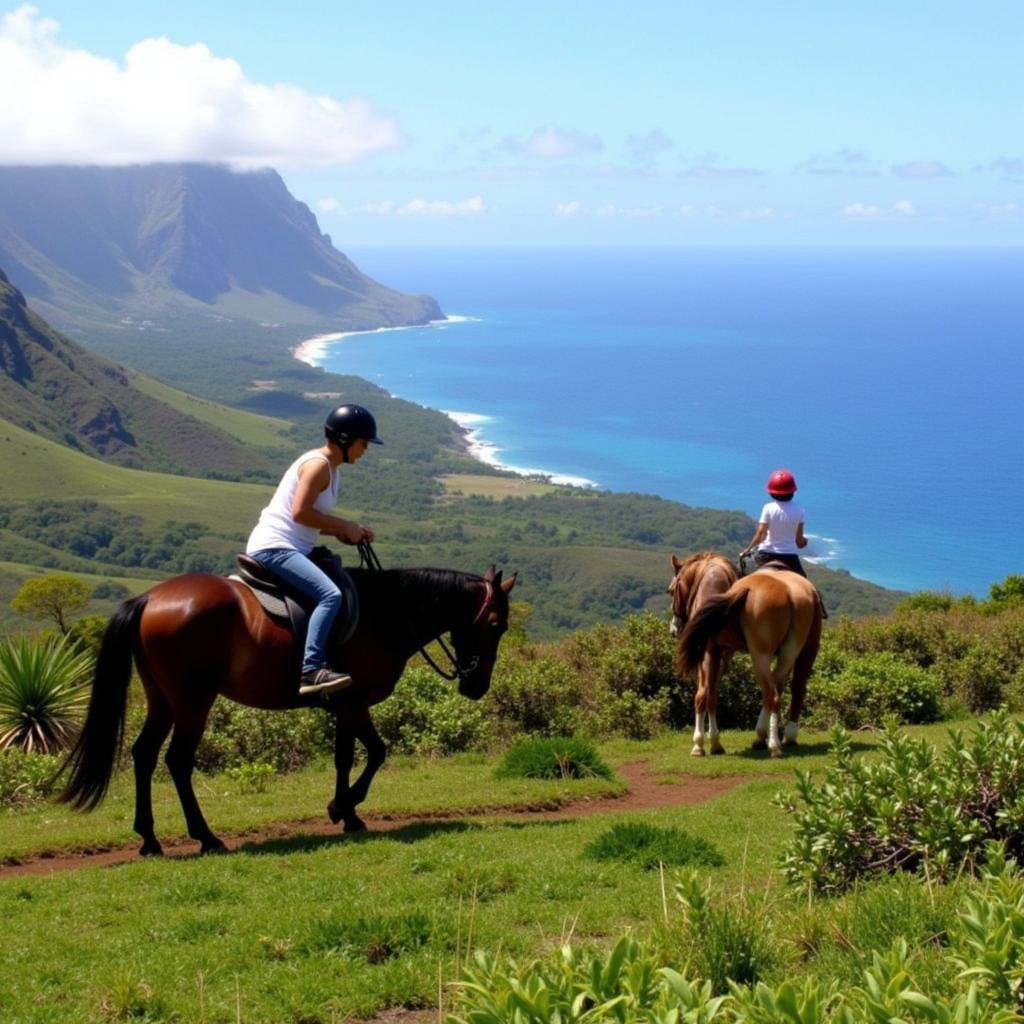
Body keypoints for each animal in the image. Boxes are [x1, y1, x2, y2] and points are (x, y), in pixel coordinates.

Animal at [59, 565, 516, 851]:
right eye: (497, 625)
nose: (478, 685)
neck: (387, 613)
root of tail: (150, 598)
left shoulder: (343, 705)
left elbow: (344, 758)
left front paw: (347, 814)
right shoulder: (355, 703)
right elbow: (376, 753)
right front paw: (342, 808)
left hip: (162, 699)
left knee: (144, 755)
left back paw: (150, 840)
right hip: (192, 701)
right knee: (177, 761)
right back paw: (206, 837)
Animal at [671, 565, 823, 757]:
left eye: (672, 590)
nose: (674, 627)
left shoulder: (710, 653)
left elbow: (702, 695)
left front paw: (701, 744)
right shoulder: (723, 655)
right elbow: (711, 695)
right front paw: (713, 743)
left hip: (763, 655)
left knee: (774, 694)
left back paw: (774, 743)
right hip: (793, 652)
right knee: (785, 689)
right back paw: (772, 737)